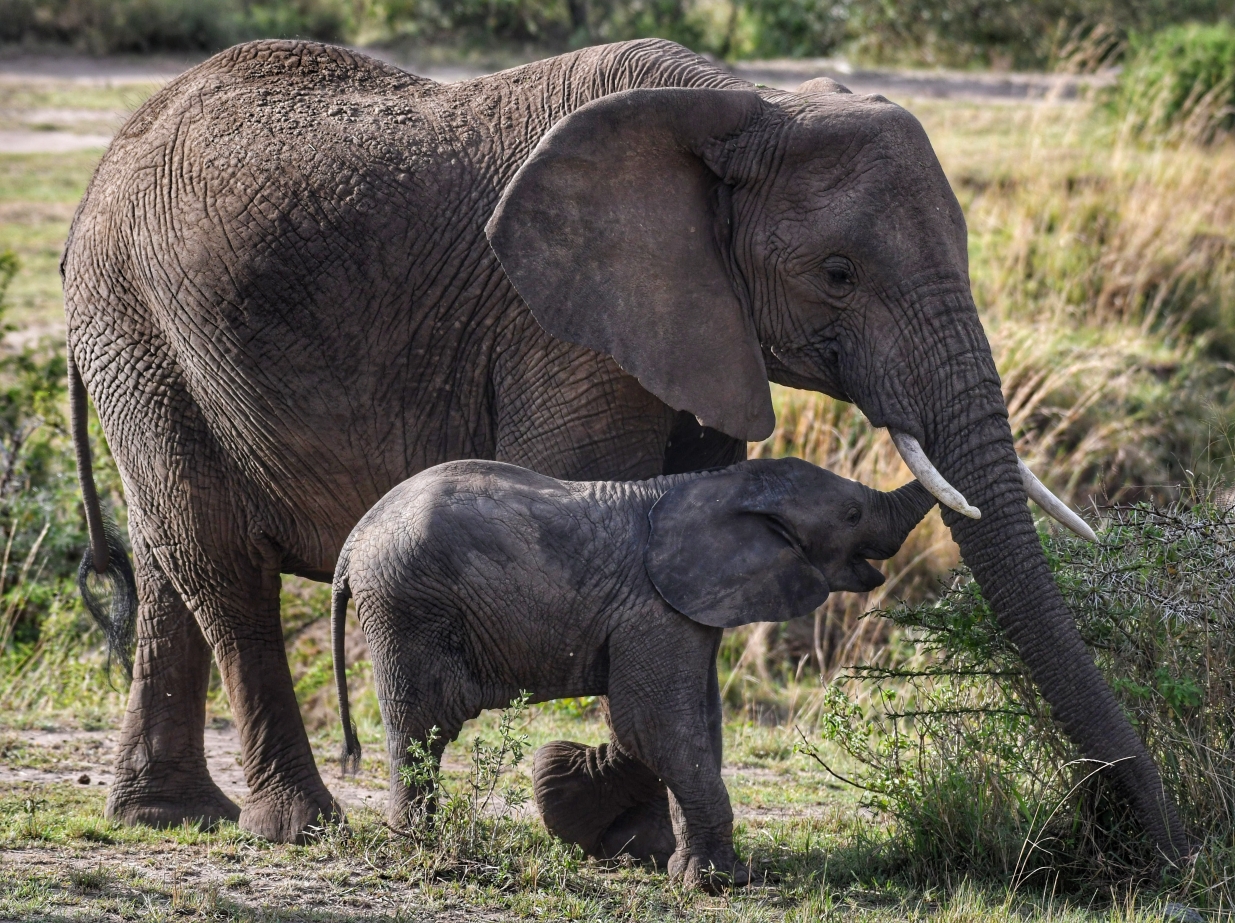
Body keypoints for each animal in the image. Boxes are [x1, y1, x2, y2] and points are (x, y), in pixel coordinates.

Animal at [333, 459, 928, 889]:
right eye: (851, 515)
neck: (720, 482)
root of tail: (352, 540)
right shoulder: (655, 607)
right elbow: (655, 722)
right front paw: (722, 883)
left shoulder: (683, 609)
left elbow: (698, 723)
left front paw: (690, 869)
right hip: (406, 608)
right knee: (420, 728)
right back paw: (425, 853)